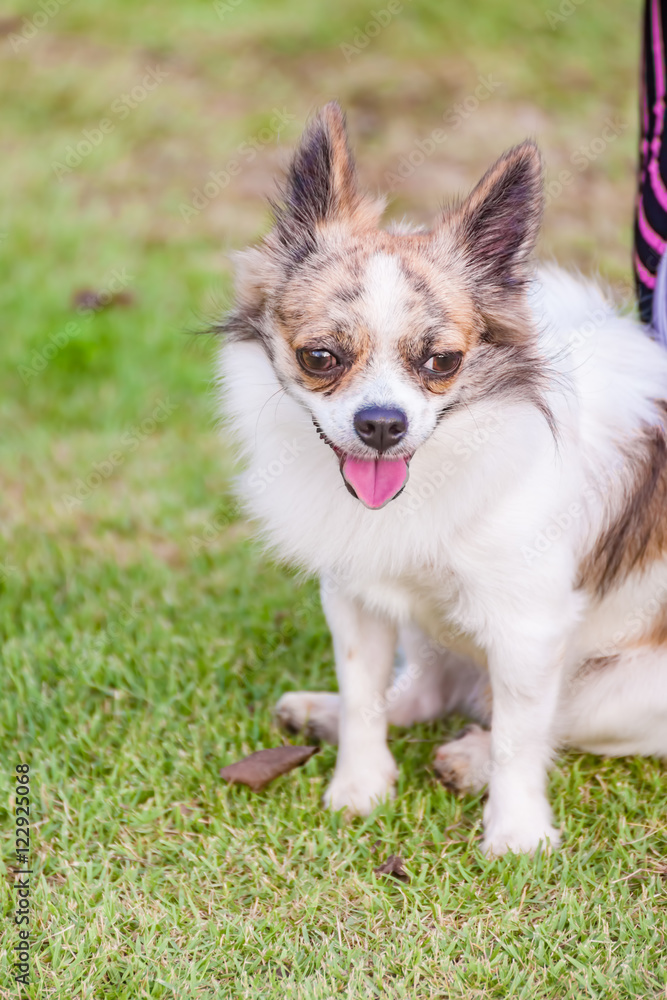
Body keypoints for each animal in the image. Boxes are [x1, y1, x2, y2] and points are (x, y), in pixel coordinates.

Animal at [219, 99, 667, 852]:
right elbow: (365, 693)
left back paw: (471, 757)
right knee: (423, 691)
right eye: (319, 357)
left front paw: (515, 833)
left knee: (548, 719)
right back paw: (323, 713)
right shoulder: (357, 596)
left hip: (624, 690)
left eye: (441, 363)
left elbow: (522, 733)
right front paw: (360, 785)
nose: (381, 423)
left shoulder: (529, 627)